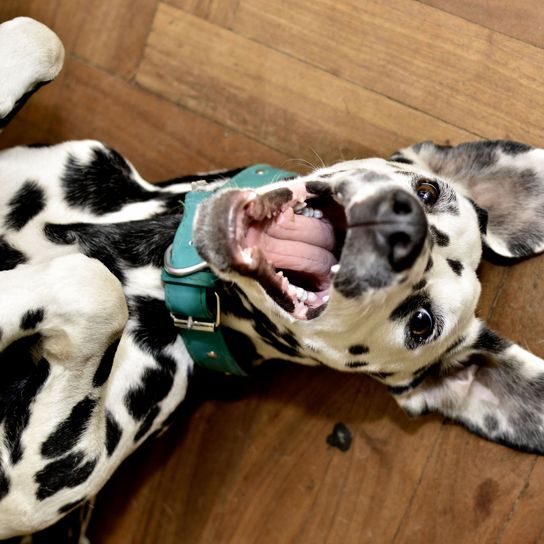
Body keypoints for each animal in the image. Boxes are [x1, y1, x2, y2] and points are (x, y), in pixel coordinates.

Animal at [3, 13, 544, 540]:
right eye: (429, 192)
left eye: (422, 323)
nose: (404, 227)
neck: (146, 254)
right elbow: (38, 37)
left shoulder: (37, 488)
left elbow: (94, 287)